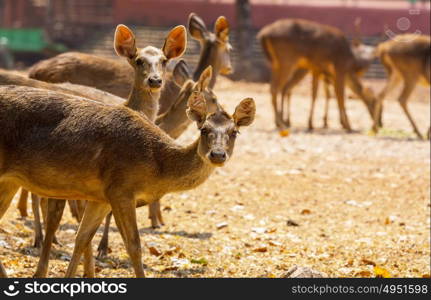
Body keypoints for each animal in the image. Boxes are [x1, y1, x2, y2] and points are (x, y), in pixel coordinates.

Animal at [0, 84, 256, 276]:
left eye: (234, 132)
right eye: (203, 129)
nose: (217, 155)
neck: (156, 168)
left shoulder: (101, 197)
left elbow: (81, 239)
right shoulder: (121, 189)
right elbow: (134, 245)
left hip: (10, 181)